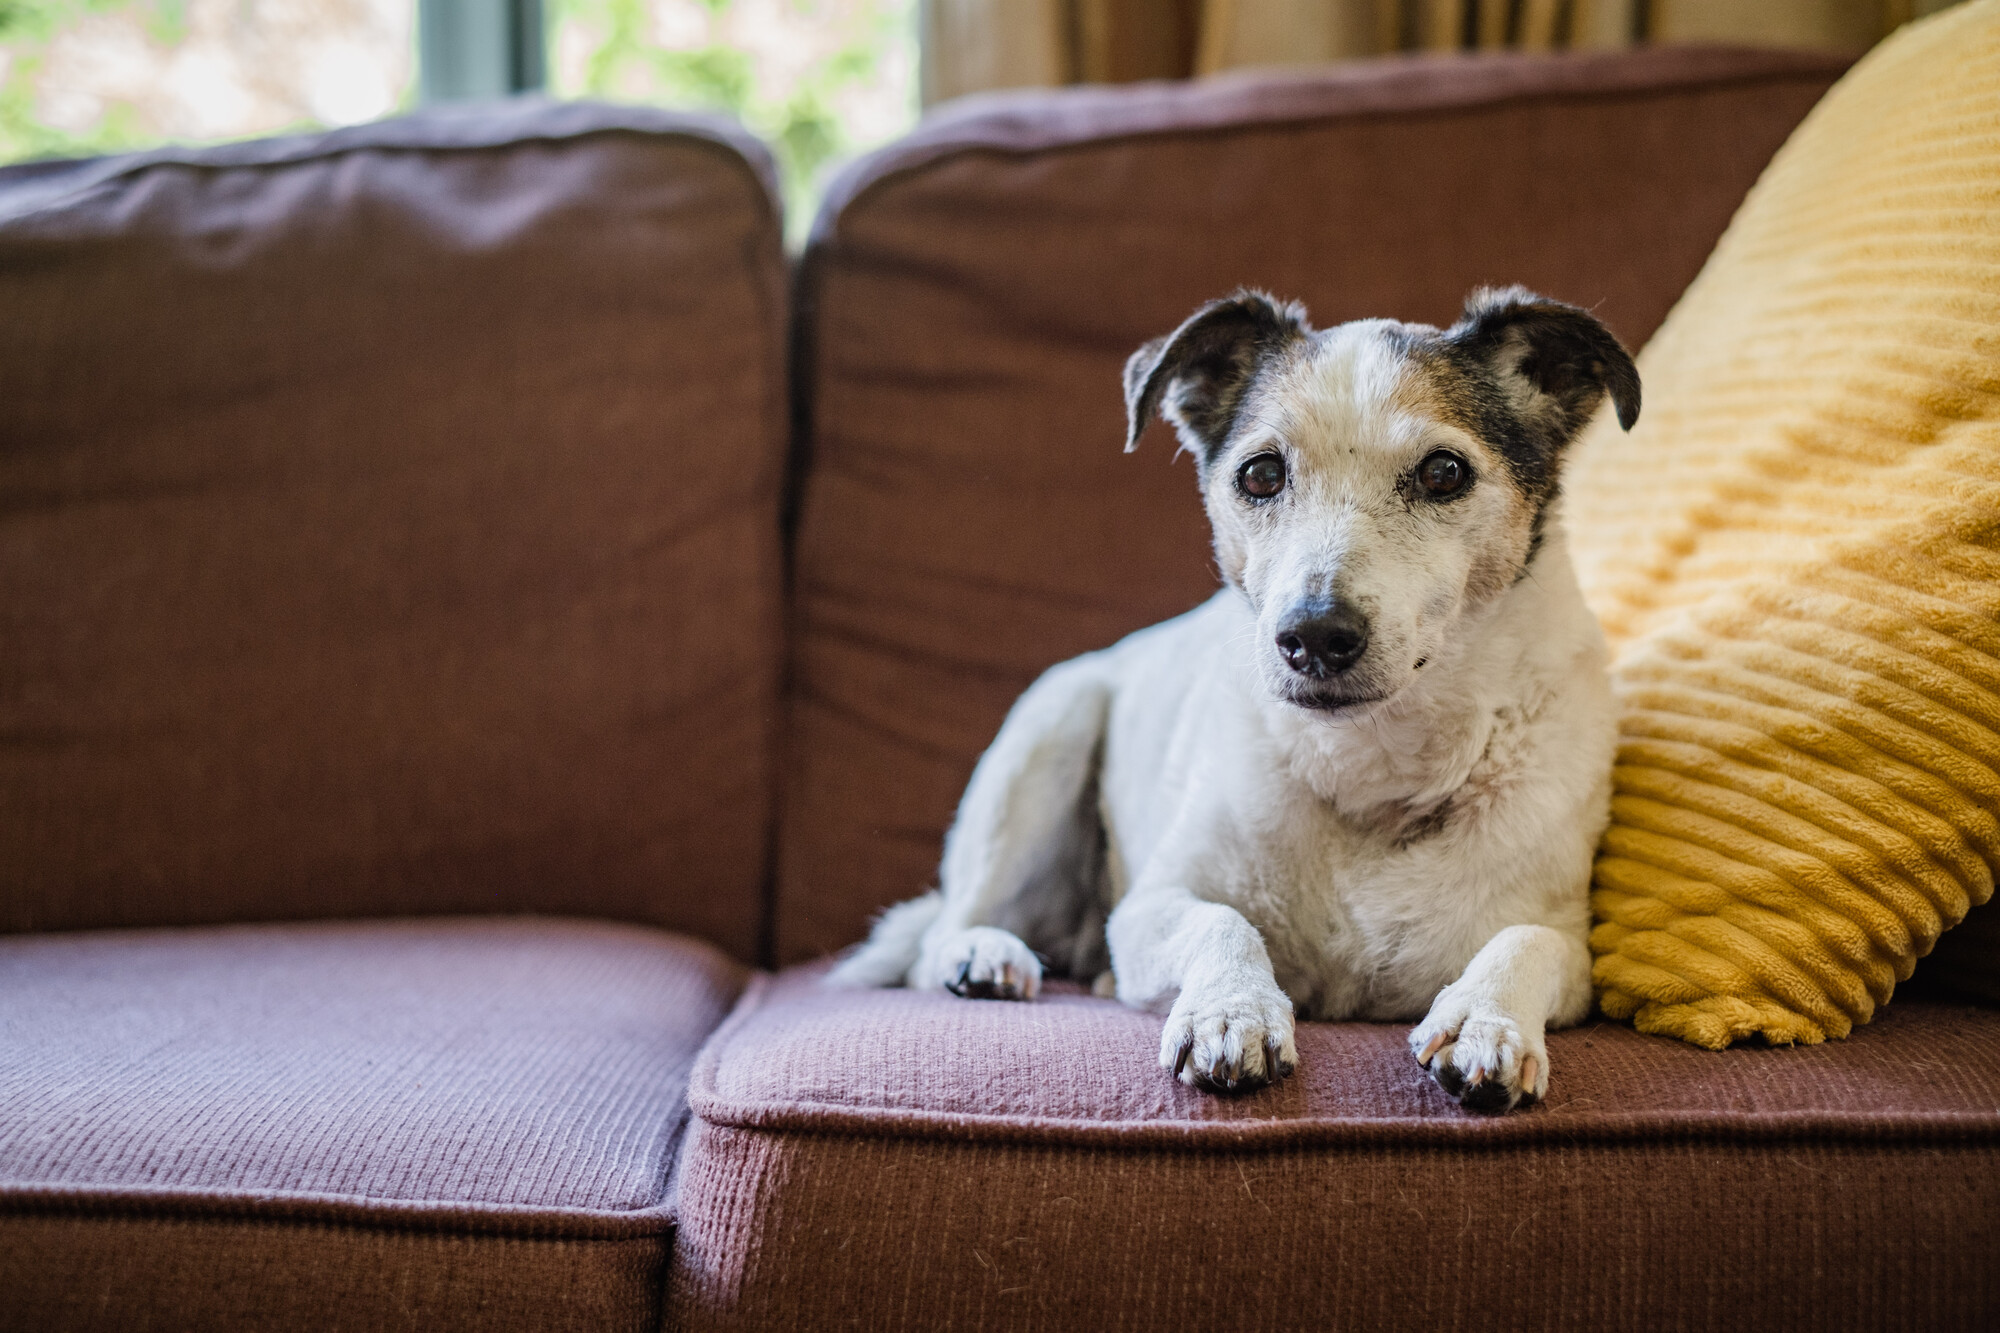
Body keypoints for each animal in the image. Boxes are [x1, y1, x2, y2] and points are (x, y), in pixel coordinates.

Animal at [828, 286, 1640, 1104]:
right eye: (1260, 475)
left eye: (1444, 473)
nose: (1314, 635)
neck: (1367, 766)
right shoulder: (1148, 908)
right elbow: (1221, 921)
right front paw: (1233, 1010)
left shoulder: (1570, 951)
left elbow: (1528, 938)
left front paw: (1485, 1020)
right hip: (1048, 732)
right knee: (943, 932)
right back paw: (986, 956)